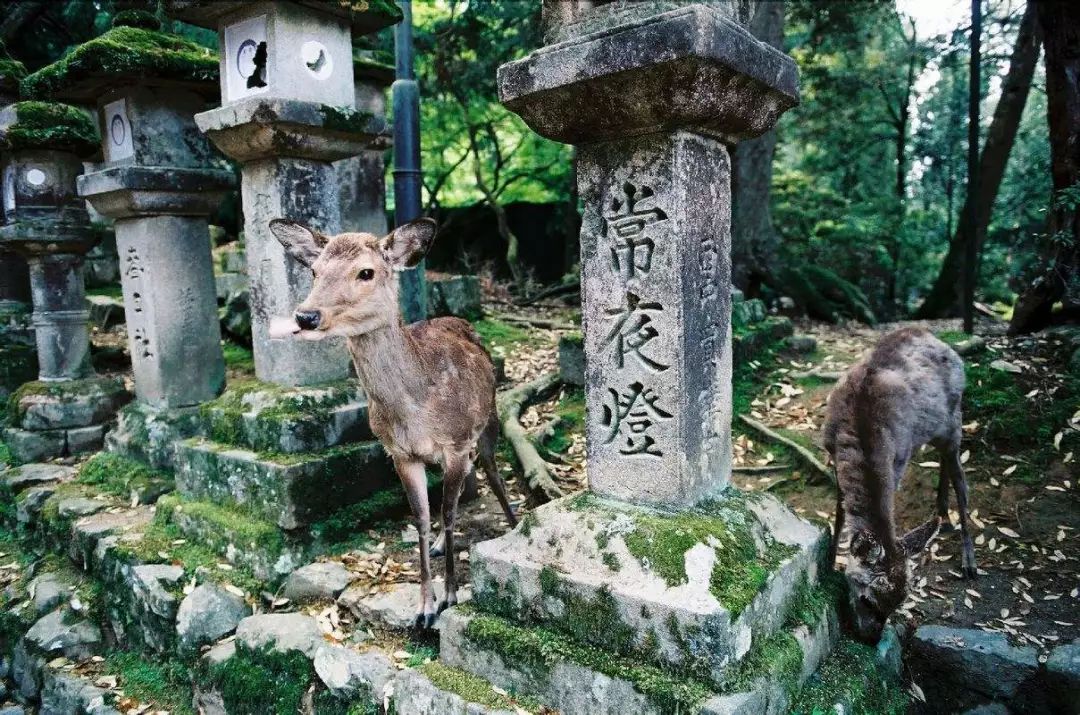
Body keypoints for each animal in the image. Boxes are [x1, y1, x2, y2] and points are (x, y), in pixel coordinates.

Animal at [267, 217, 518, 629]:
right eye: (315, 271)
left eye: (366, 272)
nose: (306, 316)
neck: (416, 412)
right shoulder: (400, 453)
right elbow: (422, 517)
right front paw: (425, 607)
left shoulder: (456, 440)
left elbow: (448, 512)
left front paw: (451, 595)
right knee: (466, 481)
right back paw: (441, 544)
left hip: (490, 417)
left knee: (492, 470)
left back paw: (513, 523)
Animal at [823, 327, 976, 644]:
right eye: (868, 599)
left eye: (897, 604)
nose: (871, 639)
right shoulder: (831, 453)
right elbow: (840, 512)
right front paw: (829, 562)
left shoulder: (899, 460)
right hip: (936, 430)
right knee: (945, 463)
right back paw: (941, 514)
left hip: (954, 419)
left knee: (961, 479)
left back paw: (969, 560)